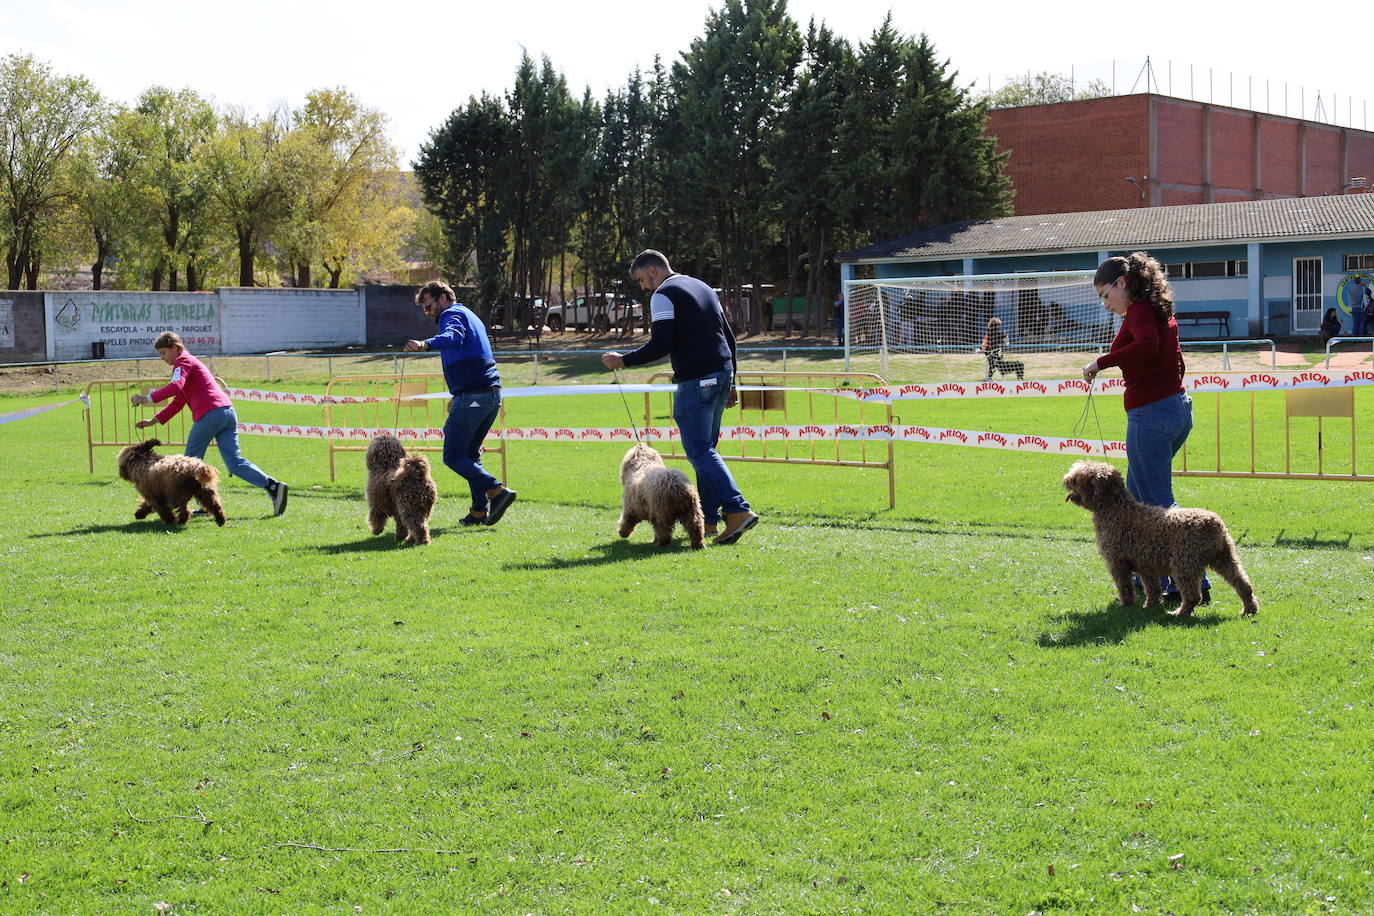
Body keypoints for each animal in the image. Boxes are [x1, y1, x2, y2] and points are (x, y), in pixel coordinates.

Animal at [1060, 461, 1258, 620]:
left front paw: (1125, 605)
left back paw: (1179, 613)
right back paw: (1249, 610)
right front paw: (1150, 606)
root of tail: (1213, 523)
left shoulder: (1117, 562)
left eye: (1078, 477)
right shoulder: (1146, 566)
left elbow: (1125, 587)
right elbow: (1152, 589)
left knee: (1193, 595)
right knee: (1244, 585)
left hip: (1184, 565)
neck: (1115, 508)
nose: (1066, 479)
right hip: (1225, 559)